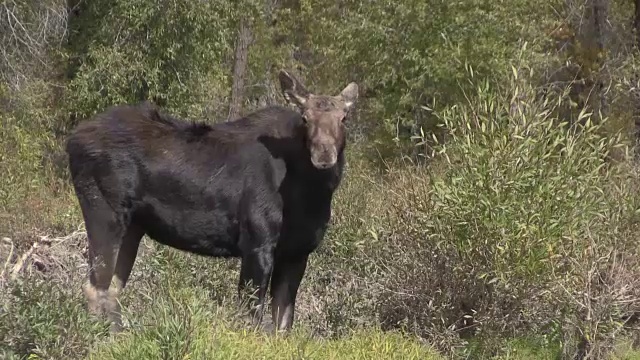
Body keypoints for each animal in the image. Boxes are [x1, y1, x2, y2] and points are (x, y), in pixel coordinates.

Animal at [67, 70, 358, 332]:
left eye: (344, 118)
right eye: (306, 118)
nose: (323, 154)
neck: (310, 194)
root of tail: (71, 140)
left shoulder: (297, 253)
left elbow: (282, 325)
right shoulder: (257, 243)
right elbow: (251, 317)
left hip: (133, 227)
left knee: (112, 288)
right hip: (104, 210)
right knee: (95, 286)